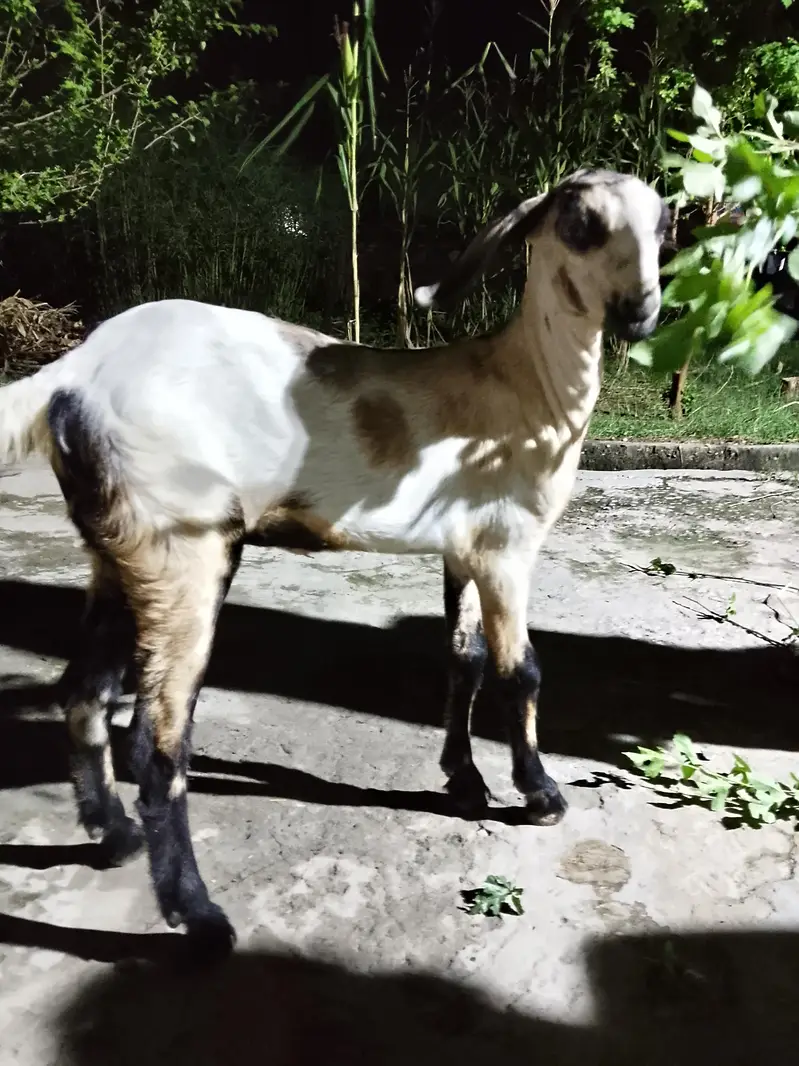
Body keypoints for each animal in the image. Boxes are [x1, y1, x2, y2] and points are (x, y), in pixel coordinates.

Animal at [0, 167, 668, 956]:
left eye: (664, 227)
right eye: (580, 226)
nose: (639, 311)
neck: (524, 386)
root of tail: (72, 375)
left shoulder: (461, 547)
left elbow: (463, 659)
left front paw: (464, 781)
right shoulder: (507, 547)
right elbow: (520, 671)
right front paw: (539, 795)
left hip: (118, 549)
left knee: (84, 693)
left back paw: (114, 838)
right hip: (185, 546)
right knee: (158, 746)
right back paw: (199, 917)